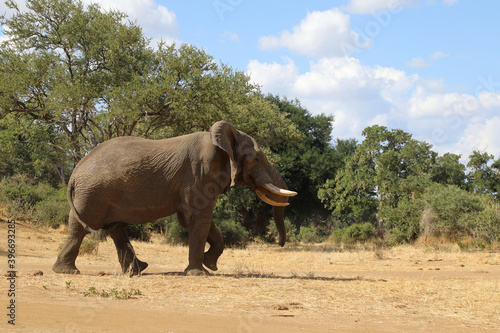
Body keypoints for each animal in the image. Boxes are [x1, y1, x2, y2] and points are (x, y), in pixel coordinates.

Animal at [53, 119, 296, 274]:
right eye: (256, 159)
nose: (280, 244)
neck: (222, 140)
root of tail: (77, 169)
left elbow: (198, 220)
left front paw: (210, 265)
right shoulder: (199, 173)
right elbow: (198, 217)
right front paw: (199, 273)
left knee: (116, 229)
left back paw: (137, 270)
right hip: (94, 193)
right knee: (82, 226)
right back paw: (68, 272)